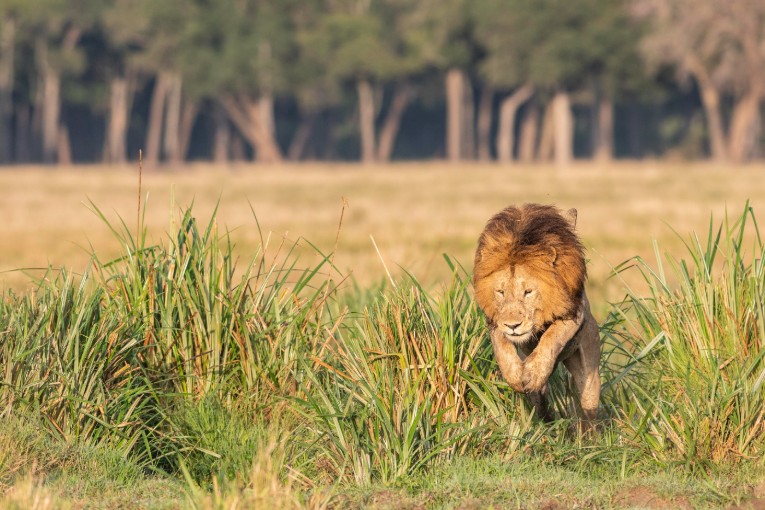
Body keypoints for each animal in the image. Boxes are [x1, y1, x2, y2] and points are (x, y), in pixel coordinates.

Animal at [472, 203, 604, 426]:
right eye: (500, 292)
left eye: (528, 291)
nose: (513, 325)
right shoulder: (495, 320)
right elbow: (502, 348)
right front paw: (516, 376)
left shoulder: (572, 314)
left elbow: (552, 337)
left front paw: (533, 373)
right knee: (540, 399)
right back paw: (545, 418)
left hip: (588, 367)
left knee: (588, 405)